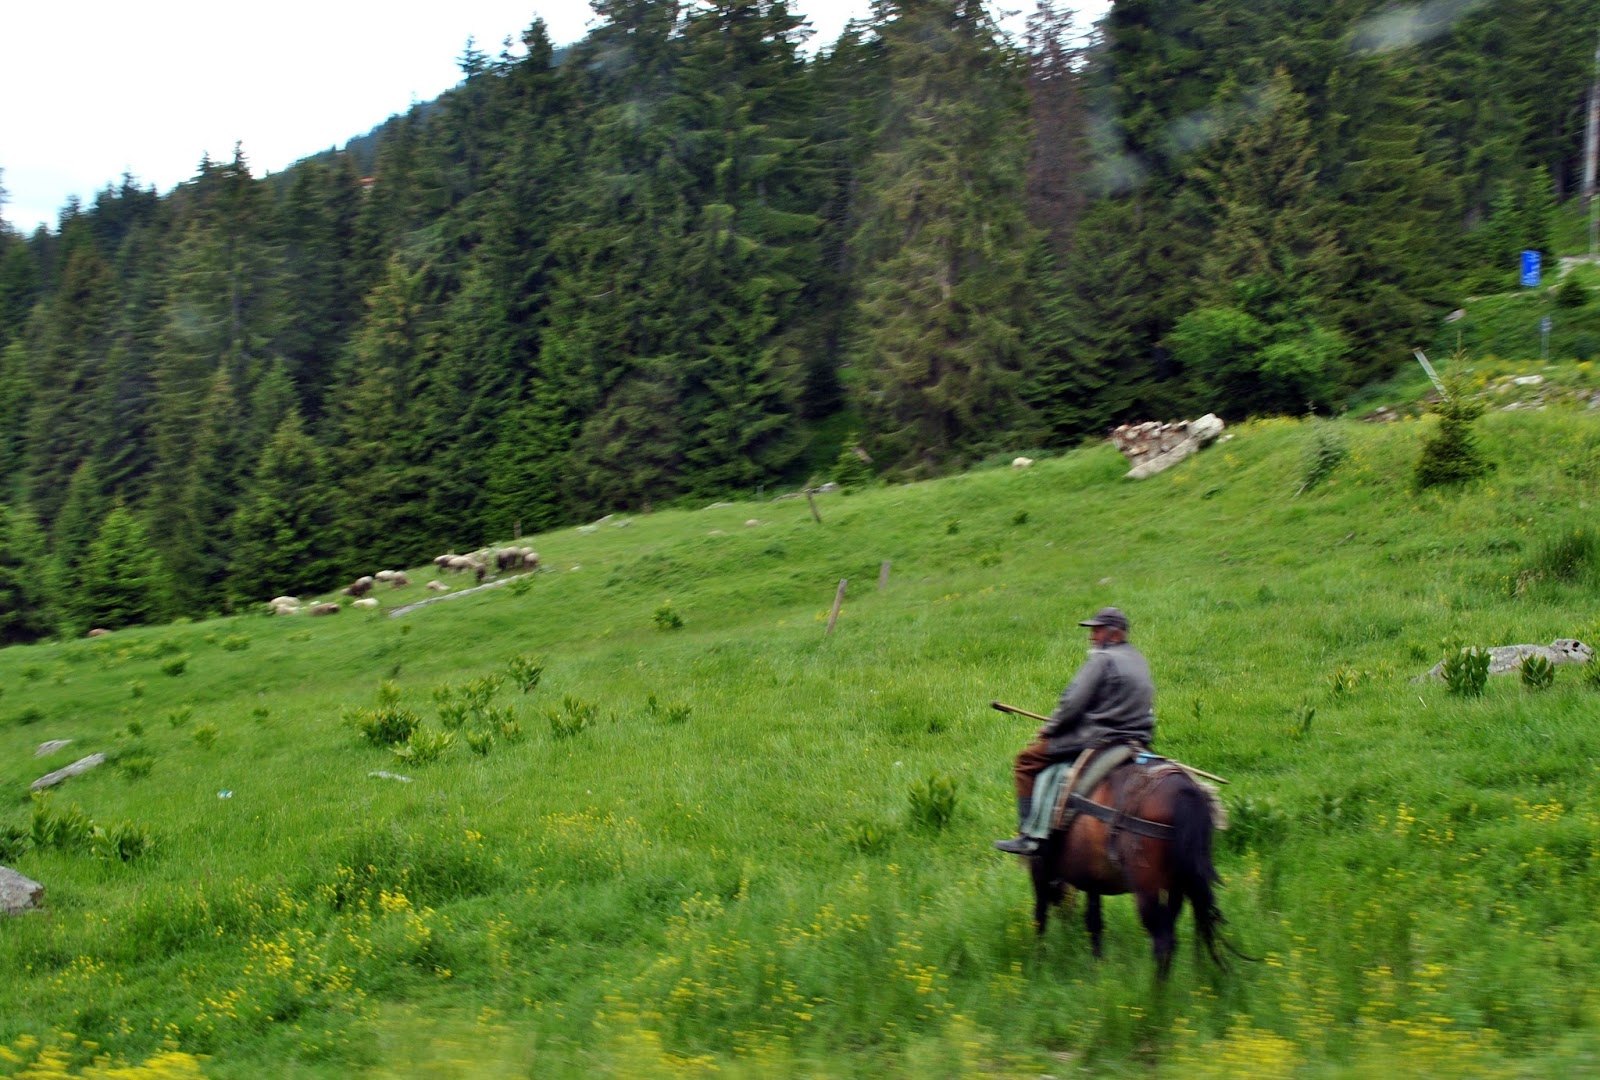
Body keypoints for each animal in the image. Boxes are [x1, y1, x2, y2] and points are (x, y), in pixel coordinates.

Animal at [1027, 759, 1228, 979]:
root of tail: (1185, 792)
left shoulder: (1042, 868)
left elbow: (1040, 916)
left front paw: (1038, 963)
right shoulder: (1092, 878)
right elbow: (1094, 920)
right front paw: (1097, 966)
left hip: (1148, 890)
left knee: (1163, 942)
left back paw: (1155, 990)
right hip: (1176, 887)